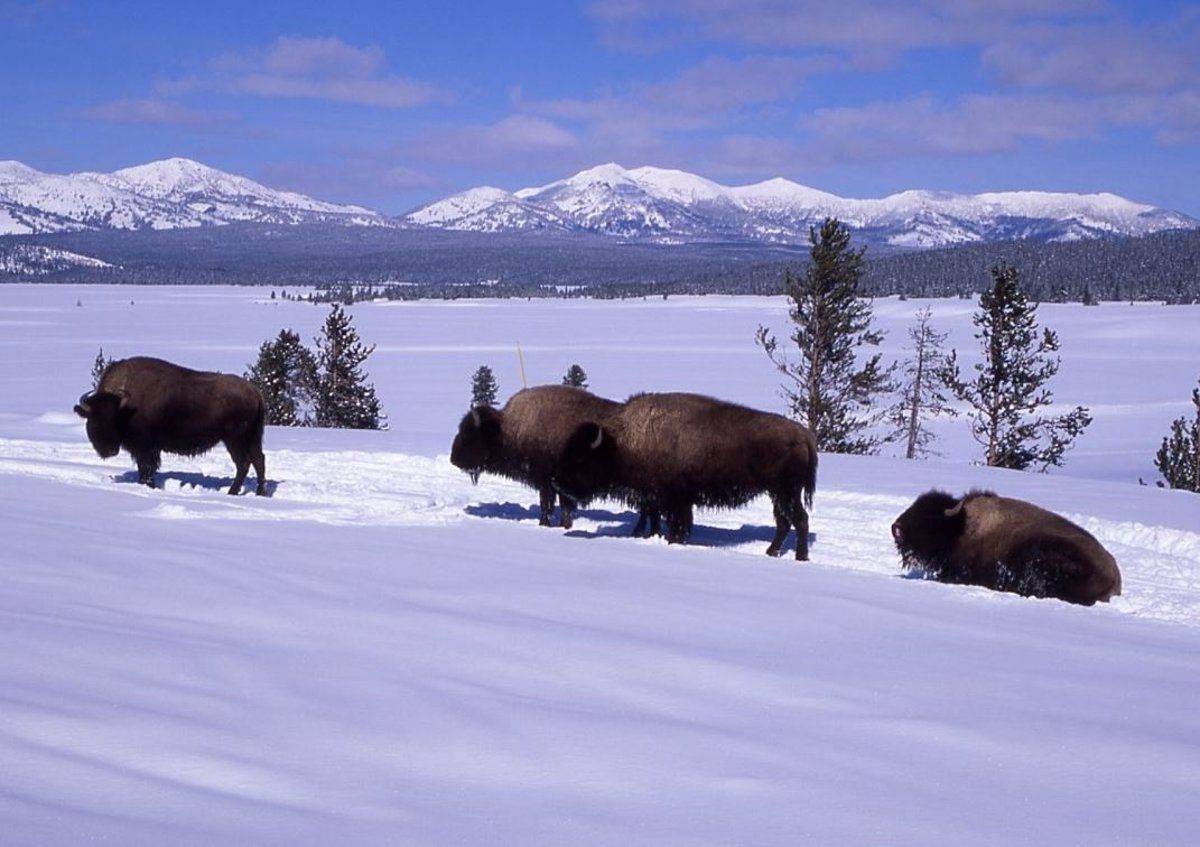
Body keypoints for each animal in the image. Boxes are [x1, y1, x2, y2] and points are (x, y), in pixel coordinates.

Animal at [73, 350, 266, 494]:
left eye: (115, 419)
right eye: (94, 420)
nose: (110, 450)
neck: (125, 408)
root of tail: (254, 392)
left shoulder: (146, 448)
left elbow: (146, 468)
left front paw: (148, 485)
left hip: (234, 439)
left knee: (243, 463)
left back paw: (232, 492)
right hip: (253, 437)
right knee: (258, 460)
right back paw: (260, 492)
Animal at [448, 383, 657, 527]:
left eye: (470, 434)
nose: (453, 459)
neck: (508, 429)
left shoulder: (549, 482)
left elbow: (550, 506)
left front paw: (550, 524)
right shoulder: (553, 484)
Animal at [549, 391, 816, 561]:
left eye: (580, 458)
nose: (556, 481)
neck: (621, 443)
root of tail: (803, 435)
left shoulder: (675, 500)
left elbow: (677, 524)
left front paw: (673, 541)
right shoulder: (661, 499)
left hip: (787, 492)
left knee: (799, 519)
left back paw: (800, 557)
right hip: (777, 493)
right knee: (783, 522)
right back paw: (771, 552)